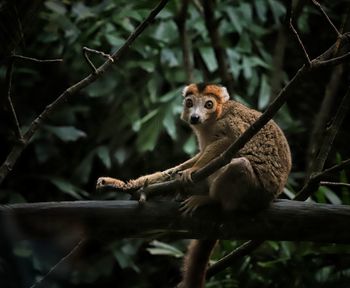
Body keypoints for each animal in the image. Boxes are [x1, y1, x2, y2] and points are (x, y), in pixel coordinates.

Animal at [95, 82, 290, 288]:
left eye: (208, 104)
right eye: (189, 103)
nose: (195, 117)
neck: (213, 119)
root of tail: (270, 198)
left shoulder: (230, 123)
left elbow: (229, 142)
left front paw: (193, 170)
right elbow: (182, 166)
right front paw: (128, 184)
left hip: (255, 194)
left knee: (239, 164)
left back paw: (209, 199)